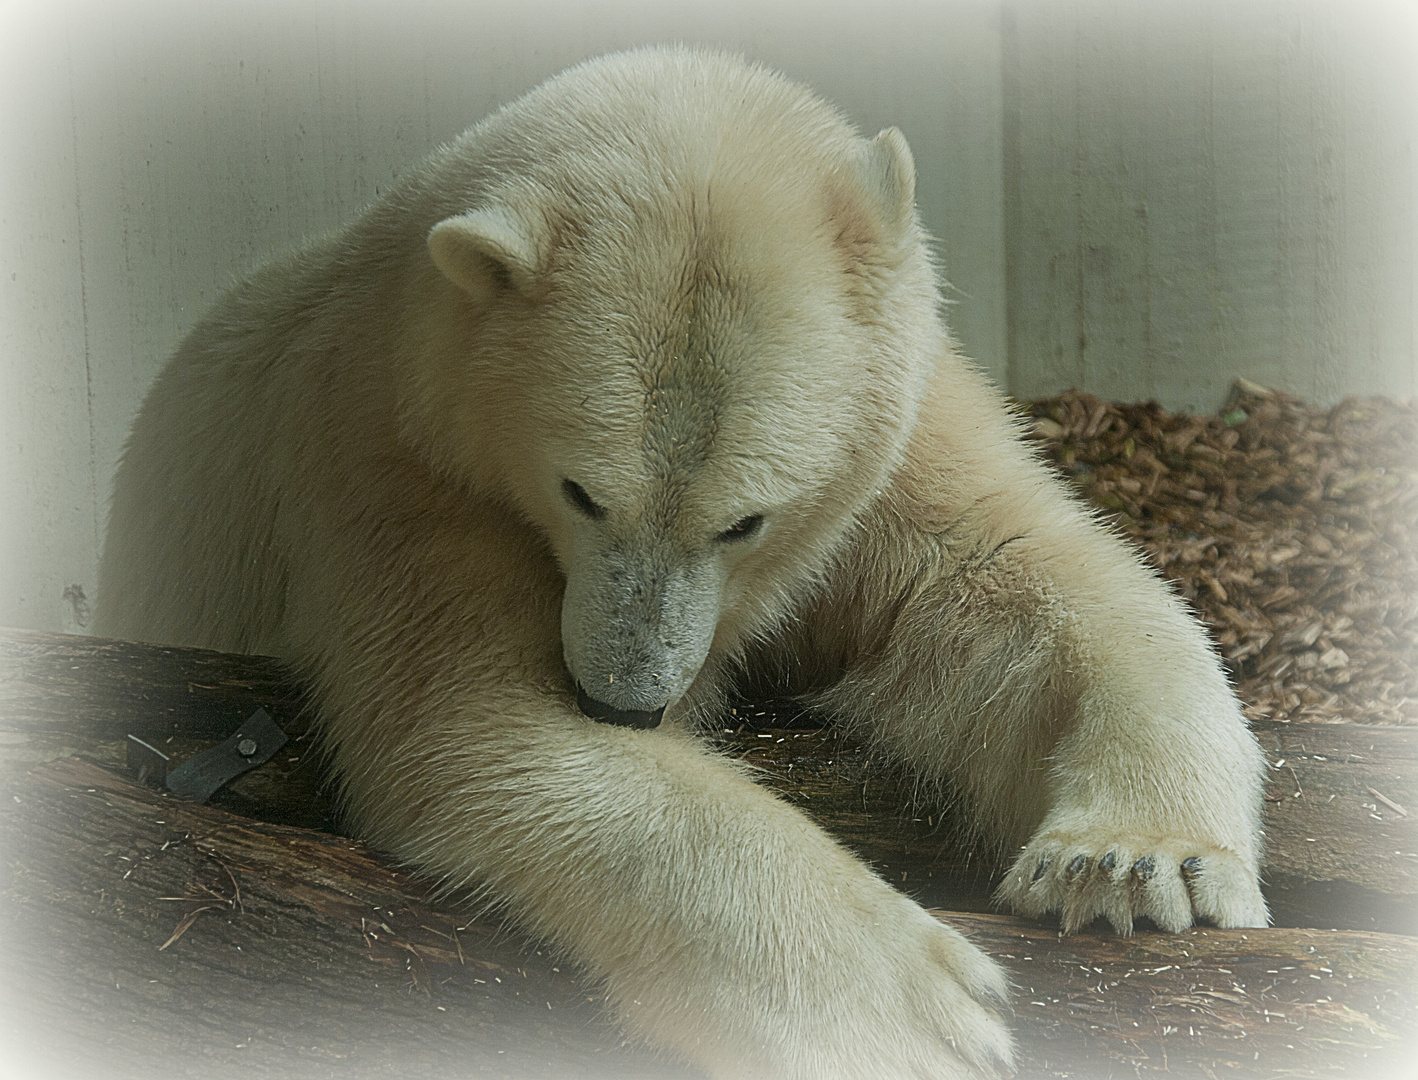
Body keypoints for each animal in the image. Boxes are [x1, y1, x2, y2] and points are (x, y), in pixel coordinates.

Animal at [102, 46, 1264, 1077]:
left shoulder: (886, 440)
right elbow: (473, 720)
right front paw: (915, 1016)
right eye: (579, 491)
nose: (622, 702)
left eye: (743, 520)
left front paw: (1131, 862)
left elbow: (1015, 589)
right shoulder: (389, 459)